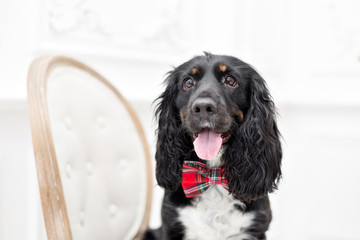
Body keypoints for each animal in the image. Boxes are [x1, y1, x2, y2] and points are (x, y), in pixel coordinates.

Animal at [145, 53, 282, 240]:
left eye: (230, 80)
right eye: (188, 82)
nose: (203, 107)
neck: (213, 176)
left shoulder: (255, 229)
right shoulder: (172, 225)